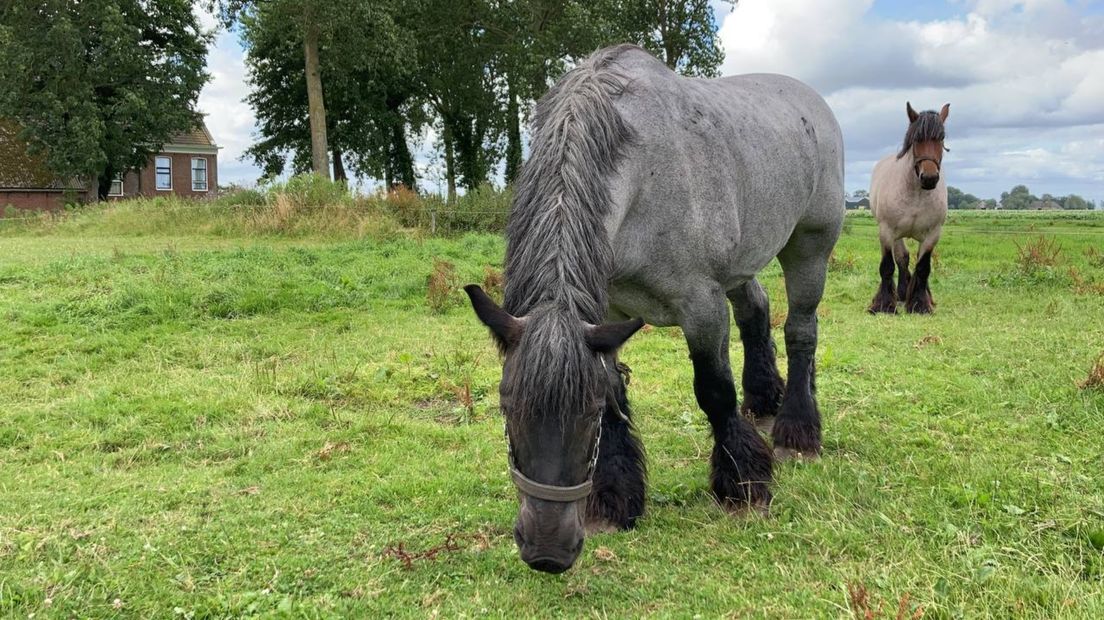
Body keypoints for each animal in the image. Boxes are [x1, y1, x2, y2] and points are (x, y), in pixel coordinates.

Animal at [461, 43, 839, 573]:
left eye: (585, 413)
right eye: (506, 405)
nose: (547, 552)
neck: (644, 174)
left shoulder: (701, 305)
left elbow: (714, 392)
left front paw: (744, 485)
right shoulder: (607, 314)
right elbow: (618, 394)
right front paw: (614, 499)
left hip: (809, 248)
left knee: (801, 330)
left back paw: (796, 432)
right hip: (742, 265)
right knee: (757, 310)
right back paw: (765, 400)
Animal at [869, 103, 949, 313]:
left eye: (941, 138)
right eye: (917, 139)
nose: (929, 178)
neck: (916, 195)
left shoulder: (932, 235)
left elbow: (923, 267)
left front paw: (921, 304)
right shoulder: (887, 231)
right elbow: (888, 266)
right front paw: (884, 305)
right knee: (902, 258)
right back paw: (902, 293)